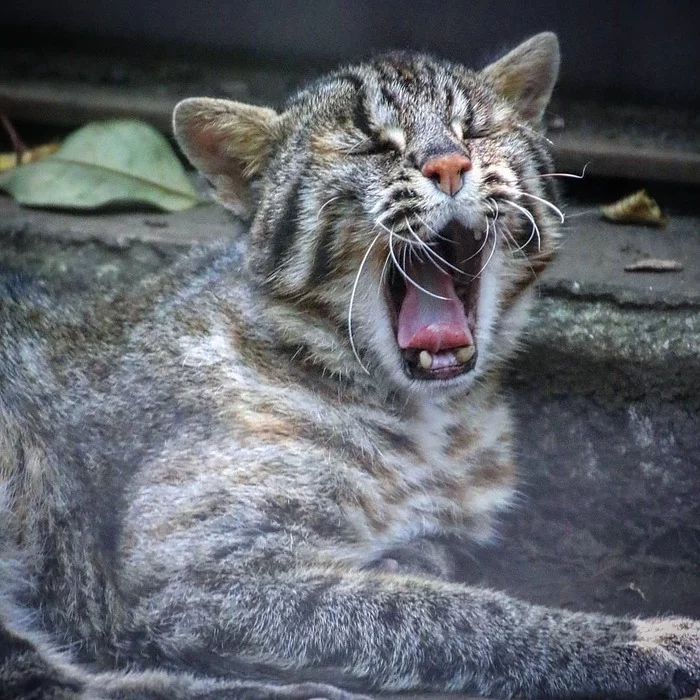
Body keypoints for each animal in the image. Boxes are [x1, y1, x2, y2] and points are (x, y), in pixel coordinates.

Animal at [1, 32, 700, 700]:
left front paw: (409, 559)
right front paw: (650, 641)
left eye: (474, 130)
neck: (428, 417)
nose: (450, 164)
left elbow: (429, 572)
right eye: (372, 146)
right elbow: (450, 617)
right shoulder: (195, 572)